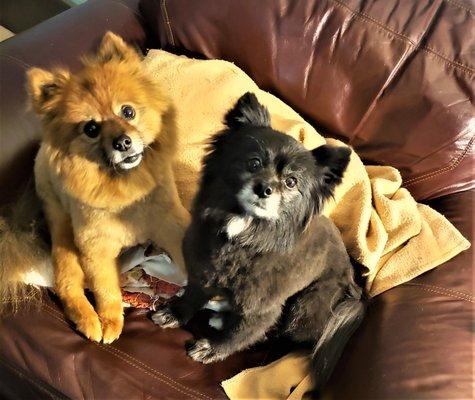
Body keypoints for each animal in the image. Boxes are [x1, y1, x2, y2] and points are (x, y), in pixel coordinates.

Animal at [1, 32, 192, 344]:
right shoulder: (95, 248)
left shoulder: (170, 223)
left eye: (128, 111)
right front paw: (111, 321)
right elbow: (105, 290)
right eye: (91, 128)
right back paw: (88, 320)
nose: (123, 142)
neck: (125, 189)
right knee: (67, 284)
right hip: (63, 233)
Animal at [152, 92, 364, 390]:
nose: (264, 189)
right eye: (253, 163)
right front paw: (176, 312)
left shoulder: (261, 307)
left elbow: (240, 333)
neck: (243, 235)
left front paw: (212, 349)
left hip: (306, 306)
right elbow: (193, 295)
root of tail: (353, 284)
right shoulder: (202, 270)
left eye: (291, 182)